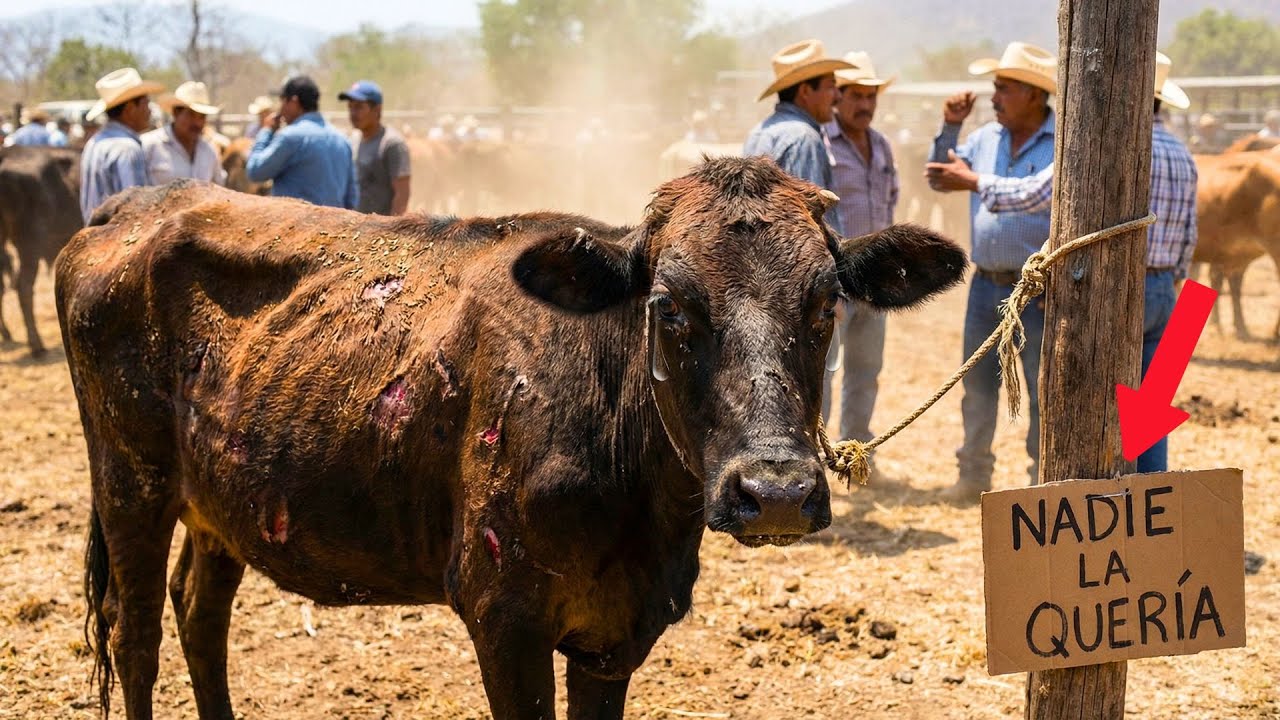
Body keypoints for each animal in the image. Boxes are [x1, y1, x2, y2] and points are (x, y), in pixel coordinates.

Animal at [57, 156, 965, 719]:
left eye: (826, 305)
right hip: (129, 484)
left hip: (225, 502)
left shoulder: (616, 635)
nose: (775, 492)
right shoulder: (505, 620)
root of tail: (137, 204)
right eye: (669, 308)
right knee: (134, 637)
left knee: (199, 614)